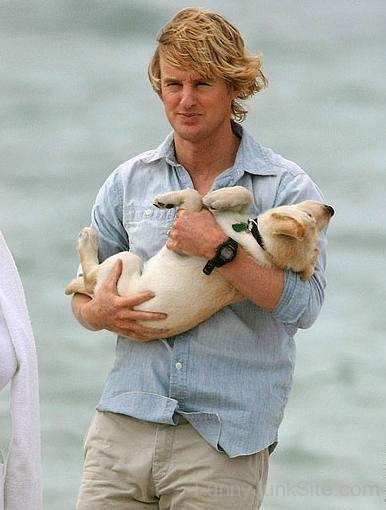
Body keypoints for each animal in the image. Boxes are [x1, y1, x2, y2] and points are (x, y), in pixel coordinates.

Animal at [65, 185, 332, 336]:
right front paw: (219, 198)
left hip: (124, 263)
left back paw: (87, 240)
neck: (259, 245)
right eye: (311, 216)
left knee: (89, 278)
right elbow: (245, 193)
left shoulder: (185, 235)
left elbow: (194, 197)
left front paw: (170, 199)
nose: (330, 209)